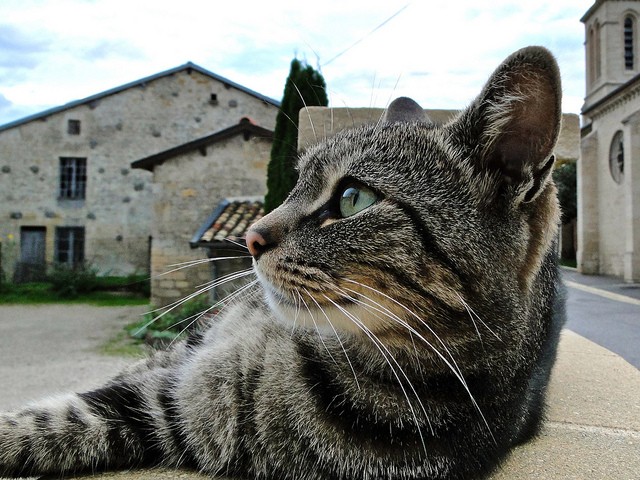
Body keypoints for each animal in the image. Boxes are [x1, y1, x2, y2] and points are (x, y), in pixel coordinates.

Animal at [0, 46, 564, 480]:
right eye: (295, 185)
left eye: (354, 198)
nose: (249, 237)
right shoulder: (162, 389)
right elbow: (55, 413)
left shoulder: (169, 414)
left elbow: (50, 425)